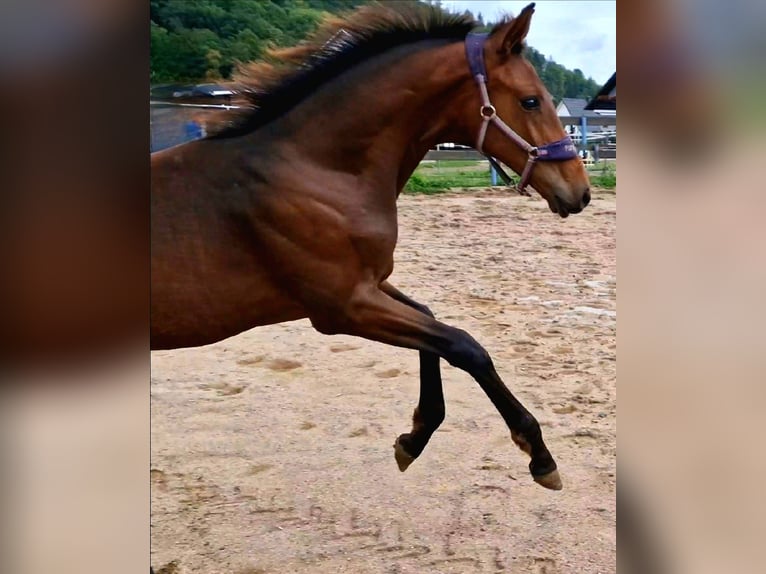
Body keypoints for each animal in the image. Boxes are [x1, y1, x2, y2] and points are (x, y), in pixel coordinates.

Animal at [153, 2, 592, 492]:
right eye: (531, 100)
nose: (580, 191)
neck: (317, 172)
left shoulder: (369, 285)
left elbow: (433, 325)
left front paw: (414, 437)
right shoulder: (342, 308)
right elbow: (465, 346)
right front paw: (539, 455)